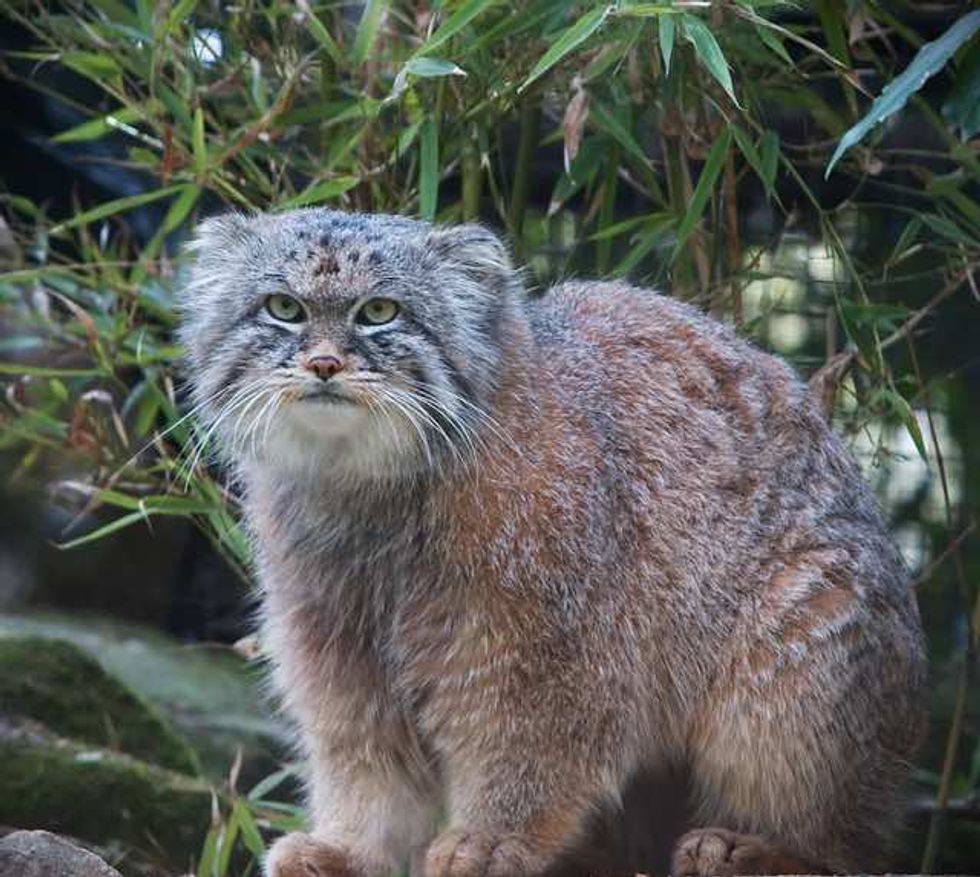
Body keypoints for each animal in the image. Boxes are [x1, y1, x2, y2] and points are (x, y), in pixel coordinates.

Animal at [180, 209, 927, 877]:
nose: (325, 363)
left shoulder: (554, 644)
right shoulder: (337, 640)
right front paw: (351, 846)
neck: (377, 492)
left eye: (380, 311)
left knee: (844, 850)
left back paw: (757, 848)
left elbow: (528, 745)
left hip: (791, 655)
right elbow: (364, 757)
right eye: (283, 307)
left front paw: (493, 837)